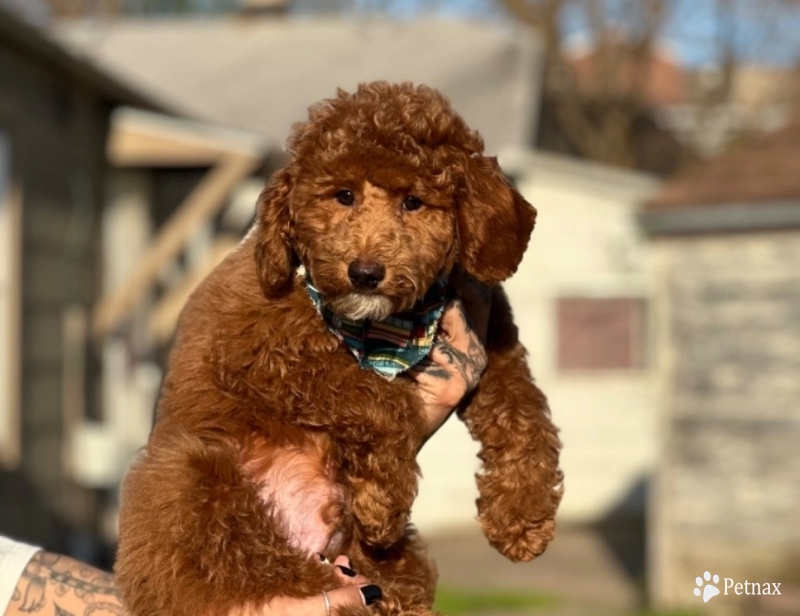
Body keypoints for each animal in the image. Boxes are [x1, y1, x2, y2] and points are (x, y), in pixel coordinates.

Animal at [114, 83, 564, 616]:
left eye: (413, 202)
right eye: (343, 196)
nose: (365, 272)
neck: (391, 327)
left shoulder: (491, 344)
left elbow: (524, 412)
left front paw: (523, 516)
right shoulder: (259, 351)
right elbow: (379, 398)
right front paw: (384, 501)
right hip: (188, 473)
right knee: (247, 569)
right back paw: (335, 589)